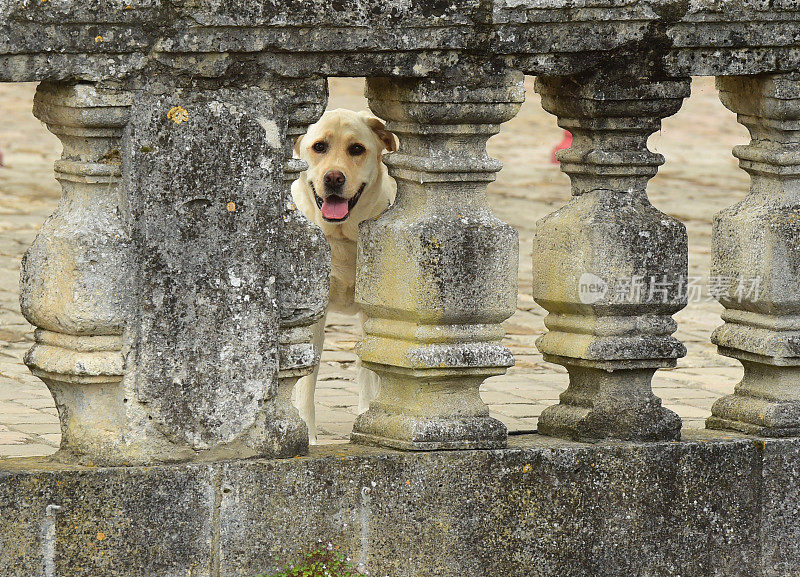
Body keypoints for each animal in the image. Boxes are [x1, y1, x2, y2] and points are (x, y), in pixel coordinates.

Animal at [290, 109, 396, 440]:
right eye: (319, 147)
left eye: (357, 149)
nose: (334, 177)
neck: (342, 238)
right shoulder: (312, 317)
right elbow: (305, 382)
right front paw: (309, 437)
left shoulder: (373, 314)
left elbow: (370, 372)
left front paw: (368, 420)